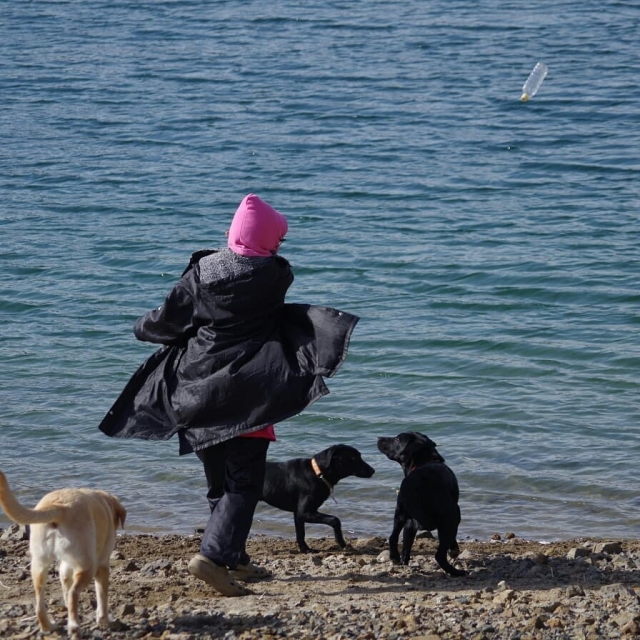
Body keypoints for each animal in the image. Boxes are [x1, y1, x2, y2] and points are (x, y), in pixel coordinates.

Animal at [0, 470, 126, 636]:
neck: (105, 503)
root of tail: (59, 507)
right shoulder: (102, 566)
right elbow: (102, 597)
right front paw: (105, 621)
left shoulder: (65, 566)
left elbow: (65, 584)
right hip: (88, 566)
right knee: (73, 594)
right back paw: (74, 627)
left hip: (39, 565)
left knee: (39, 602)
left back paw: (48, 626)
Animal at [376, 432, 464, 576]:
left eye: (397, 439)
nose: (379, 438)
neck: (424, 461)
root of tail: (417, 484)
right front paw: (453, 551)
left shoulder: (409, 523)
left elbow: (406, 545)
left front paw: (403, 562)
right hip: (450, 517)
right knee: (439, 555)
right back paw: (456, 571)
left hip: (401, 513)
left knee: (393, 537)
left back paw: (394, 557)